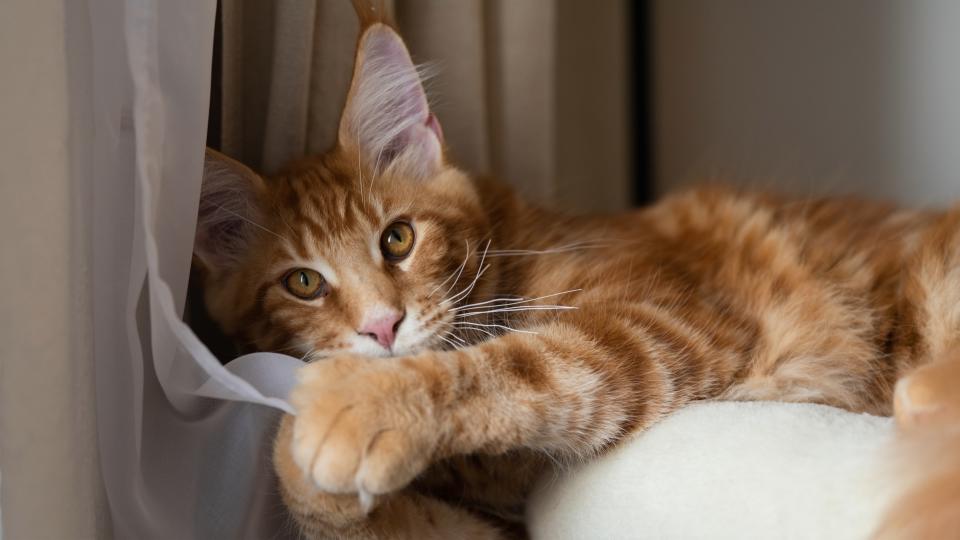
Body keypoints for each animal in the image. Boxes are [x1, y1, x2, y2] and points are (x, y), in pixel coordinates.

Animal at [195, 12, 960, 540]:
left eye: (398, 239)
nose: (382, 327)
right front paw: (301, 455)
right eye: (303, 283)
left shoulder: (657, 323)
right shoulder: (495, 523)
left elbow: (518, 363)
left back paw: (917, 396)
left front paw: (359, 402)